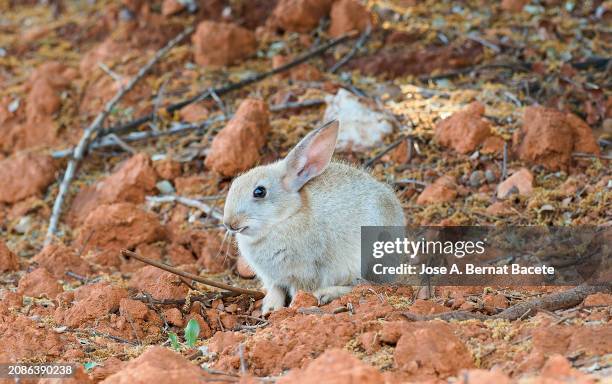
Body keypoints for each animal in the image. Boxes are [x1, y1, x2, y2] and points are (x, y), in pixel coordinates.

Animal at [222, 121, 404, 316]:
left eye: (259, 192)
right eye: (234, 184)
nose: (229, 223)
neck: (286, 217)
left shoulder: (304, 272)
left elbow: (298, 290)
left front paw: (293, 308)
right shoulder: (273, 278)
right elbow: (276, 290)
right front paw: (270, 308)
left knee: (364, 285)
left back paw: (326, 294)